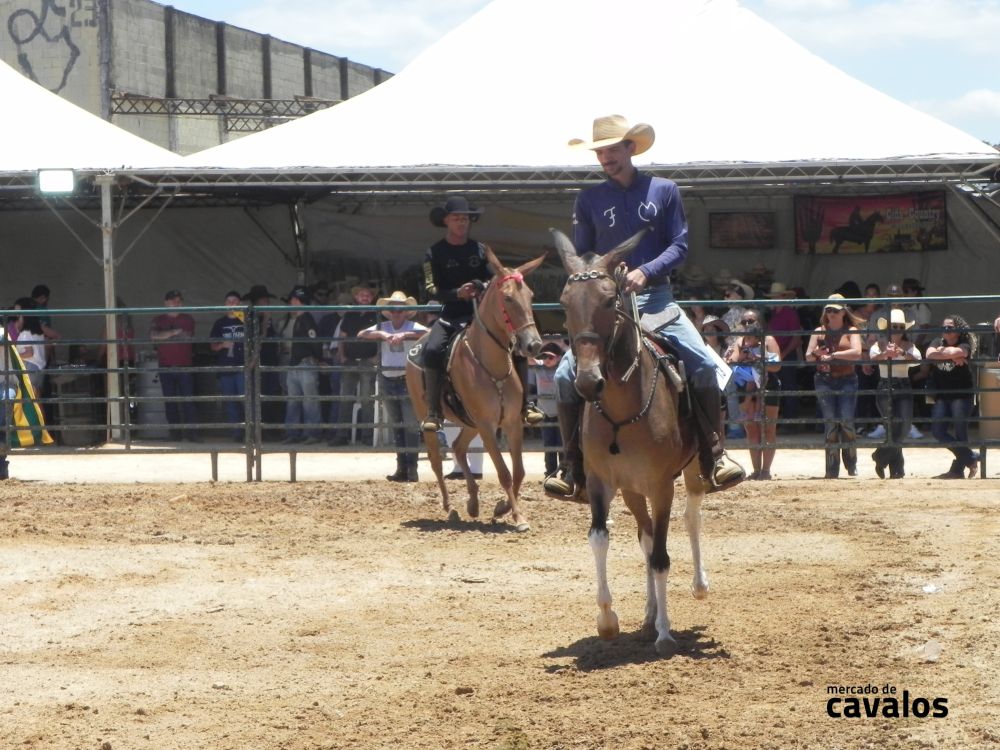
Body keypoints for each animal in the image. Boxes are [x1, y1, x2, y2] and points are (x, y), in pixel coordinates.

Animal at [406, 247, 546, 532]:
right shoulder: (488, 426)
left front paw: (503, 509)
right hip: (431, 417)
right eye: (508, 298)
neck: (492, 367)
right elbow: (504, 473)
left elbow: (519, 471)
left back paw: (472, 503)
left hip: (469, 422)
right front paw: (518, 517)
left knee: (458, 447)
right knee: (436, 460)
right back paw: (450, 508)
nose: (534, 345)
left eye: (530, 296)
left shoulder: (512, 423)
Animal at [552, 228, 709, 657]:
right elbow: (600, 539)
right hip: (633, 489)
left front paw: (665, 635)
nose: (588, 381)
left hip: (689, 474)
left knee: (689, 520)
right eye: (565, 302)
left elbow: (661, 558)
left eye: (609, 300)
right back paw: (649, 614)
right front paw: (608, 620)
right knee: (646, 536)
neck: (623, 413)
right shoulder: (602, 482)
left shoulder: (660, 485)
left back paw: (698, 586)